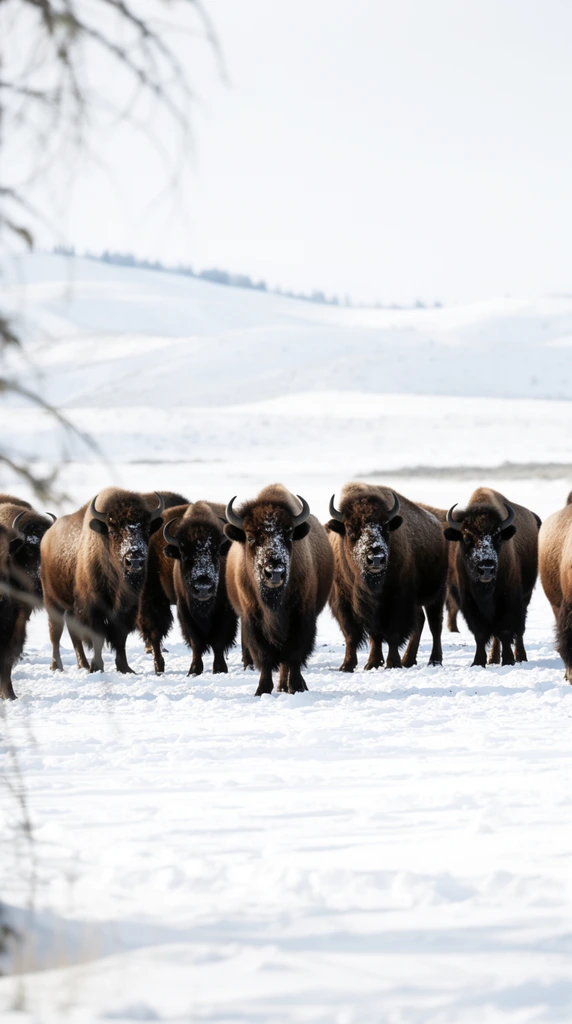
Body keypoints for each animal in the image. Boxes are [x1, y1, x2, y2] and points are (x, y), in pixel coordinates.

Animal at [41, 487, 165, 673]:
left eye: (147, 529)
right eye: (112, 532)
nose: (134, 560)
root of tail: (47, 535)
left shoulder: (127, 610)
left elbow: (120, 639)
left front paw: (125, 668)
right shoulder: (94, 608)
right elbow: (98, 637)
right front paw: (97, 667)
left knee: (72, 632)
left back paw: (83, 664)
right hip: (51, 600)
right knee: (55, 632)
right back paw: (57, 666)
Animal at [138, 500, 237, 675]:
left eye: (216, 553)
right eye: (184, 556)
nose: (203, 587)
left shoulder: (225, 609)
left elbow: (218, 641)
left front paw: (220, 669)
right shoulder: (184, 609)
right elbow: (195, 641)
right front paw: (194, 670)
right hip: (152, 595)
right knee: (155, 633)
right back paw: (159, 667)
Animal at [224, 484, 334, 695]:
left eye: (289, 535)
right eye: (250, 537)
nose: (274, 572)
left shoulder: (301, 617)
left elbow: (294, 656)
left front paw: (297, 687)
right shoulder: (253, 619)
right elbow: (265, 657)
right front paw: (262, 690)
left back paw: (287, 685)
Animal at [327, 483, 447, 670]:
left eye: (385, 528)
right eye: (350, 530)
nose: (376, 558)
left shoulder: (397, 601)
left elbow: (392, 634)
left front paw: (392, 663)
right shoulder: (344, 603)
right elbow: (356, 635)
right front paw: (356, 665)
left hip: (436, 593)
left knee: (435, 625)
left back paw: (434, 660)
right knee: (420, 621)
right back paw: (408, 660)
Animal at [445, 487, 540, 666]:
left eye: (498, 536)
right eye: (466, 537)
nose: (486, 569)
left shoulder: (509, 599)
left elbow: (505, 631)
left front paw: (509, 660)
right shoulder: (469, 601)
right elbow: (480, 634)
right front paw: (478, 662)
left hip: (525, 596)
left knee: (519, 631)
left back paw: (520, 657)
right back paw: (493, 659)